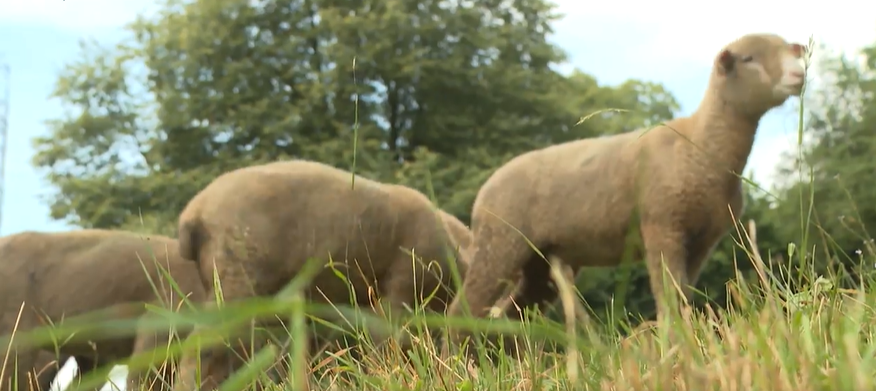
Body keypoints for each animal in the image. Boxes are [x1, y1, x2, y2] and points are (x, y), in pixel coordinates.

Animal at [448, 32, 812, 342]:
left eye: (790, 50)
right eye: (749, 58)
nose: (799, 74)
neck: (699, 146)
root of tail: (483, 192)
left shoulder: (702, 240)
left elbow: (682, 295)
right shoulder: (663, 225)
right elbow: (669, 296)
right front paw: (677, 344)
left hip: (539, 262)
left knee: (510, 313)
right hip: (499, 243)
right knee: (463, 310)